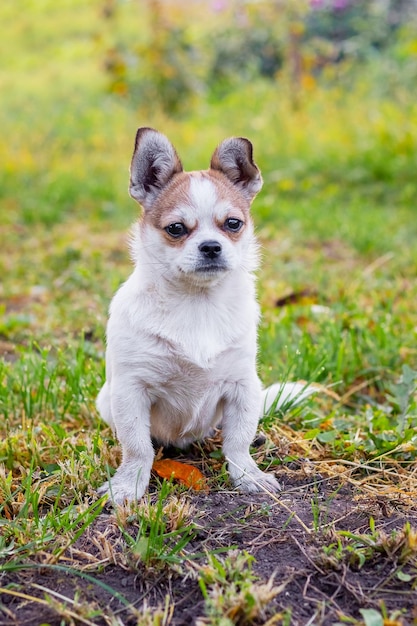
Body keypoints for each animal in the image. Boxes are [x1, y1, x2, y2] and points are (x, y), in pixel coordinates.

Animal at [96, 127, 308, 502]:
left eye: (233, 224)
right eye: (176, 229)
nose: (211, 246)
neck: (198, 302)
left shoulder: (242, 387)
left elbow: (237, 442)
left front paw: (248, 476)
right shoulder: (130, 392)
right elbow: (137, 447)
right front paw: (128, 485)